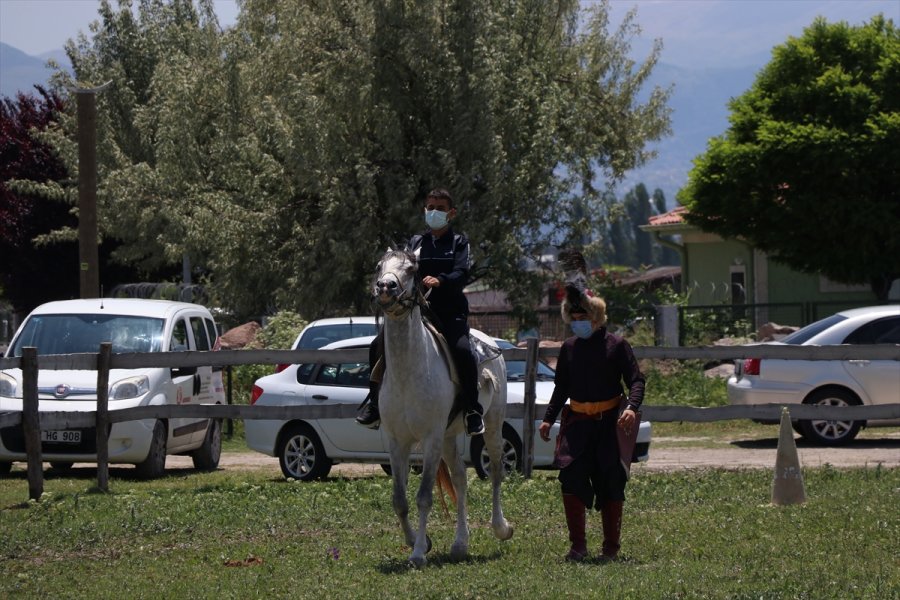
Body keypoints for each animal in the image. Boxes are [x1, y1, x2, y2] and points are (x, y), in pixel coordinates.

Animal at [372, 248, 512, 568]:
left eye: (412, 269)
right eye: (379, 266)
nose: (385, 287)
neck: (408, 372)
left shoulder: (431, 437)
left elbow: (424, 496)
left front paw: (418, 553)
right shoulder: (396, 441)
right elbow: (399, 499)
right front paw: (420, 542)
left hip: (492, 425)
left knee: (497, 472)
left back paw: (501, 528)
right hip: (449, 437)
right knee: (460, 480)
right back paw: (460, 544)